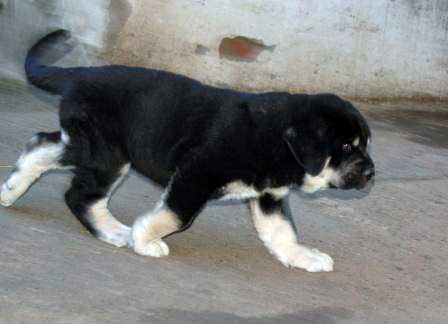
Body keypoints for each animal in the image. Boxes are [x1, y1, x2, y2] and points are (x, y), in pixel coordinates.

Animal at [0, 31, 374, 274]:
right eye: (346, 146)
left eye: (365, 144)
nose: (372, 173)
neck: (275, 139)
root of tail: (80, 74)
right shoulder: (195, 175)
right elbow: (176, 216)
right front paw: (144, 239)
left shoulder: (268, 195)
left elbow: (281, 232)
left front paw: (302, 257)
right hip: (107, 154)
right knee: (80, 195)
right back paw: (115, 232)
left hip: (87, 145)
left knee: (40, 144)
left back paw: (9, 190)